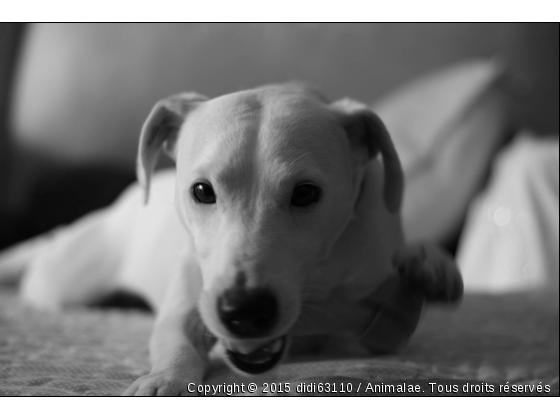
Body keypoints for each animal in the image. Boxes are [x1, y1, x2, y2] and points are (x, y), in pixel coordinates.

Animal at [0, 83, 462, 396]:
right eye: (203, 191)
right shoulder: (185, 307)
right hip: (62, 282)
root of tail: (119, 207)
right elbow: (175, 343)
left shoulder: (373, 318)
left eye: (306, 193)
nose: (244, 311)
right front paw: (164, 380)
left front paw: (430, 265)